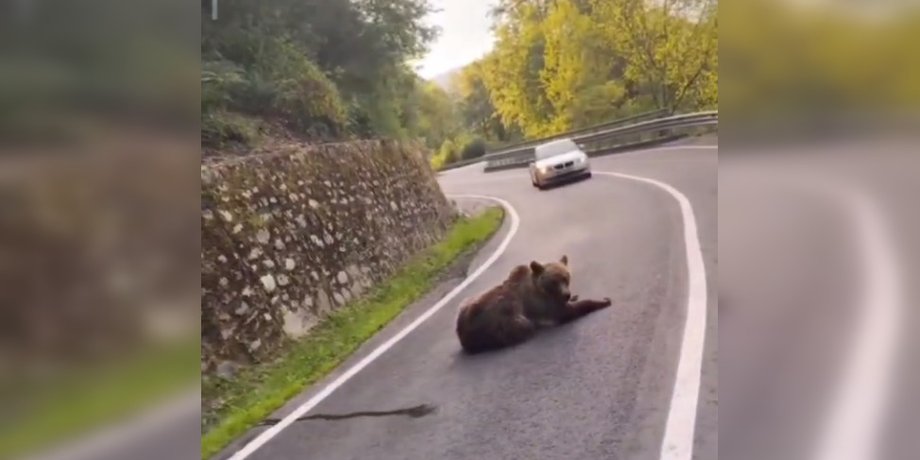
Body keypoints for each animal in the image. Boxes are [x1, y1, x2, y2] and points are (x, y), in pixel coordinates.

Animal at [455, 255, 612, 354]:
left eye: (566, 278)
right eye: (554, 281)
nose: (566, 294)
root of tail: (460, 333)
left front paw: (575, 297)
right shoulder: (540, 303)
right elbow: (566, 311)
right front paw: (603, 301)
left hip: (467, 301)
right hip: (503, 321)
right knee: (524, 325)